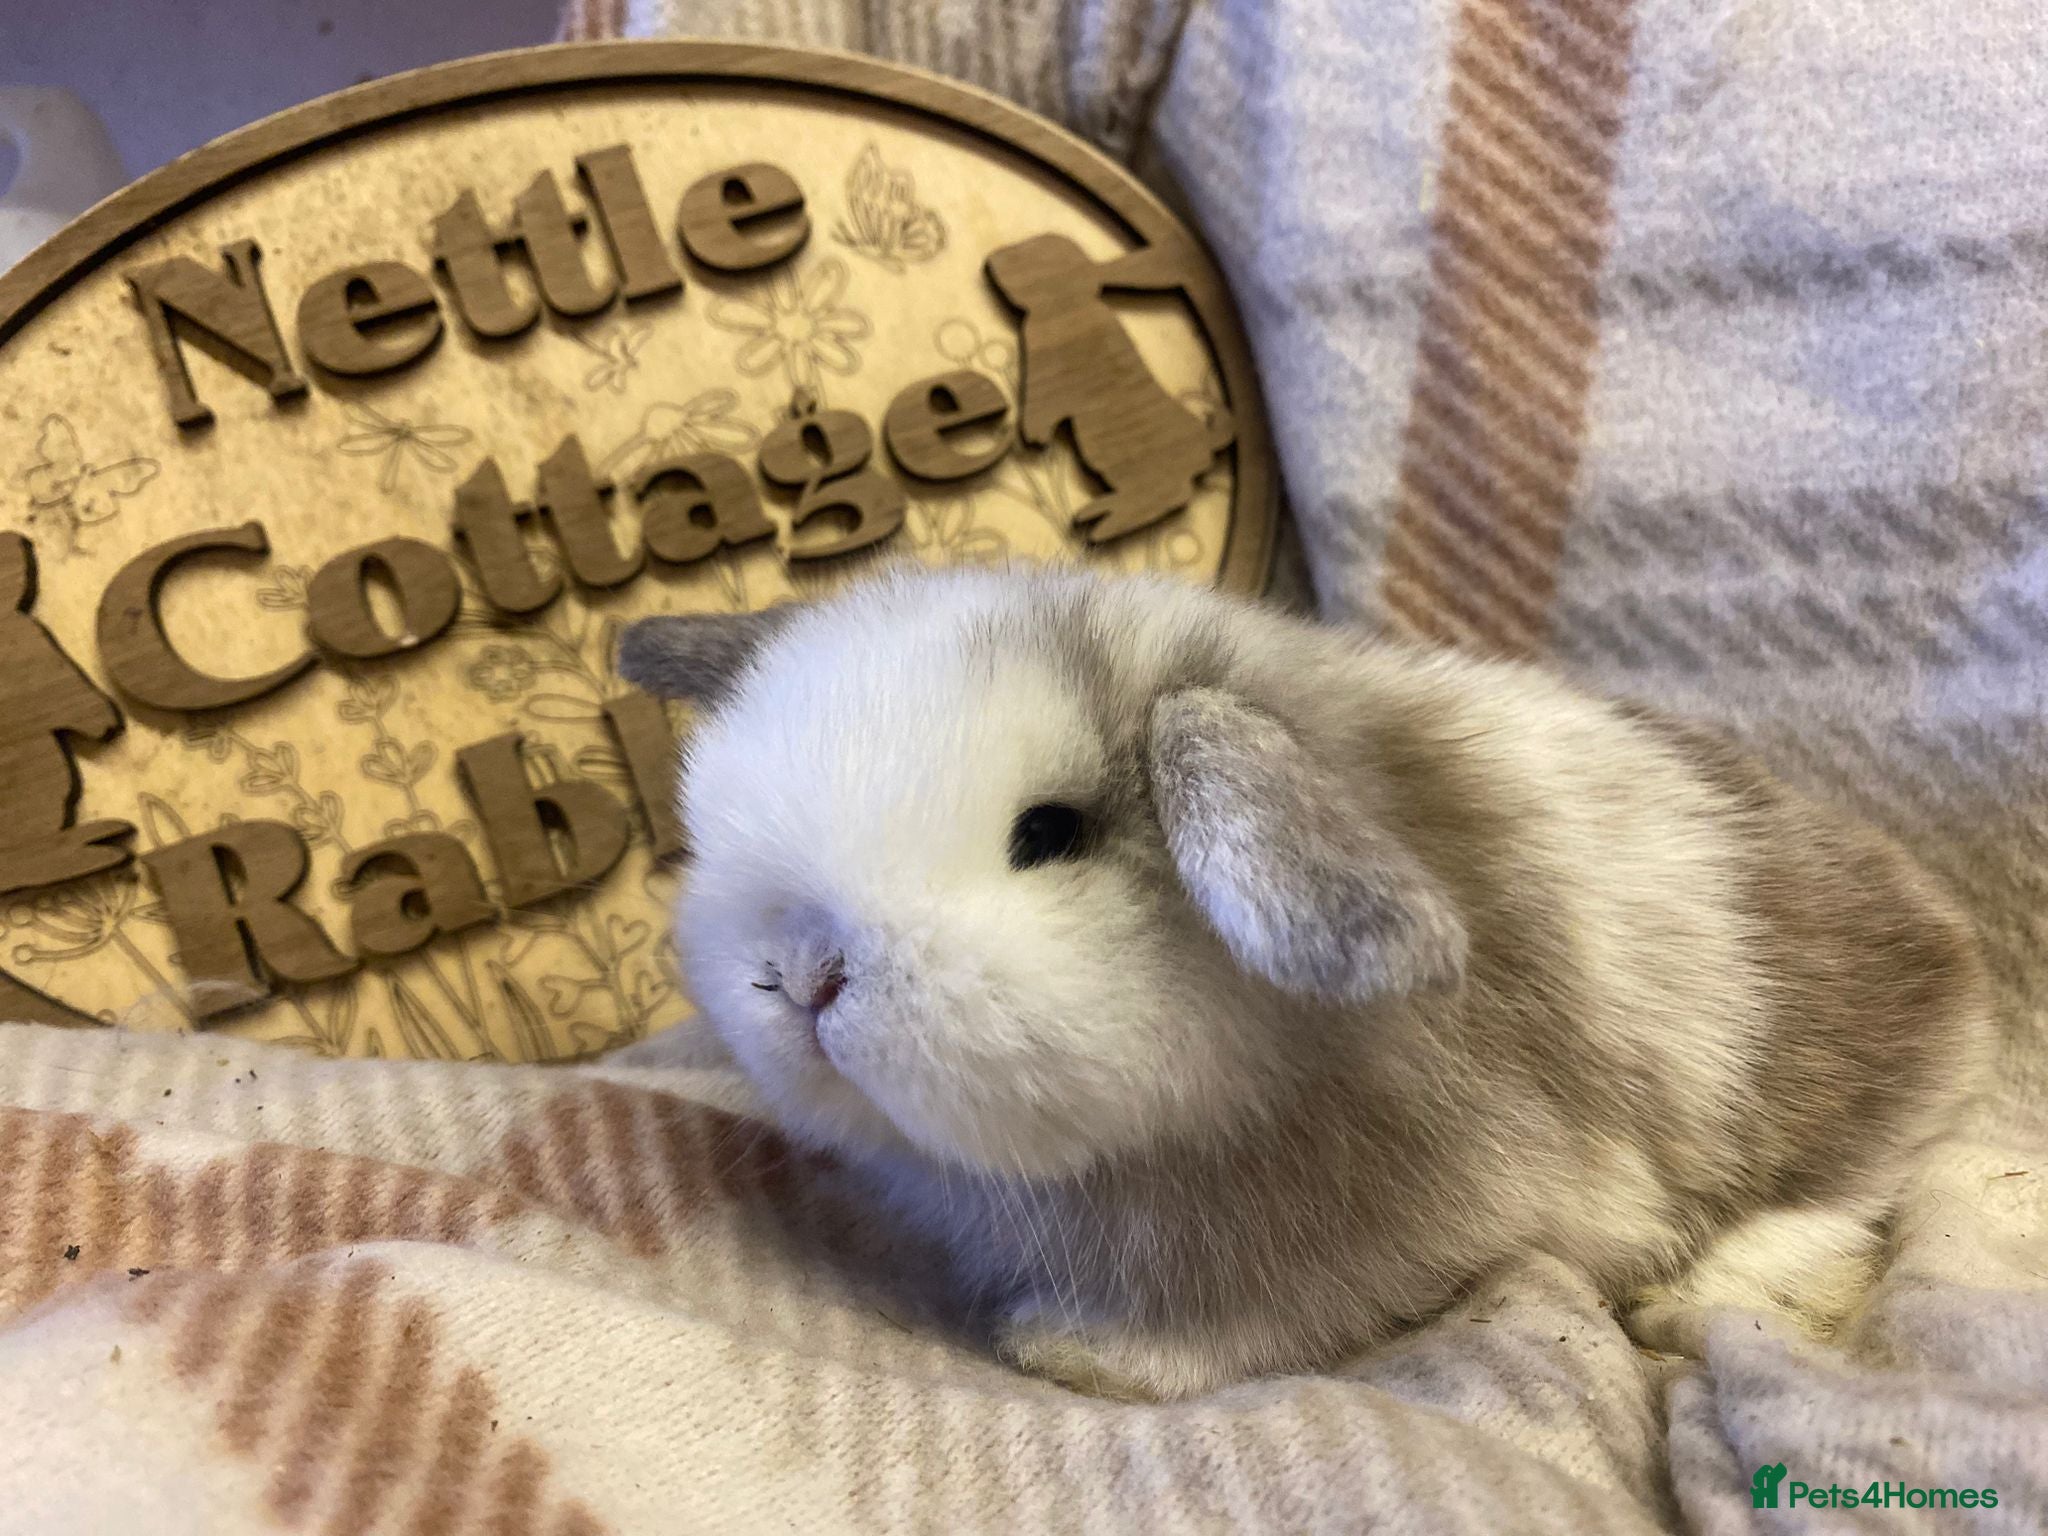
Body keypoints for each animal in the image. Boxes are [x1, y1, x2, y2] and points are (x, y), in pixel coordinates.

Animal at [615, 562, 1993, 1402]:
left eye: (1048, 833)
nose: (801, 974)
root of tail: (1948, 936)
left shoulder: (1398, 1216)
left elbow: (1256, 1318)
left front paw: (1081, 1355)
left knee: (1855, 1184)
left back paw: (1707, 1289)